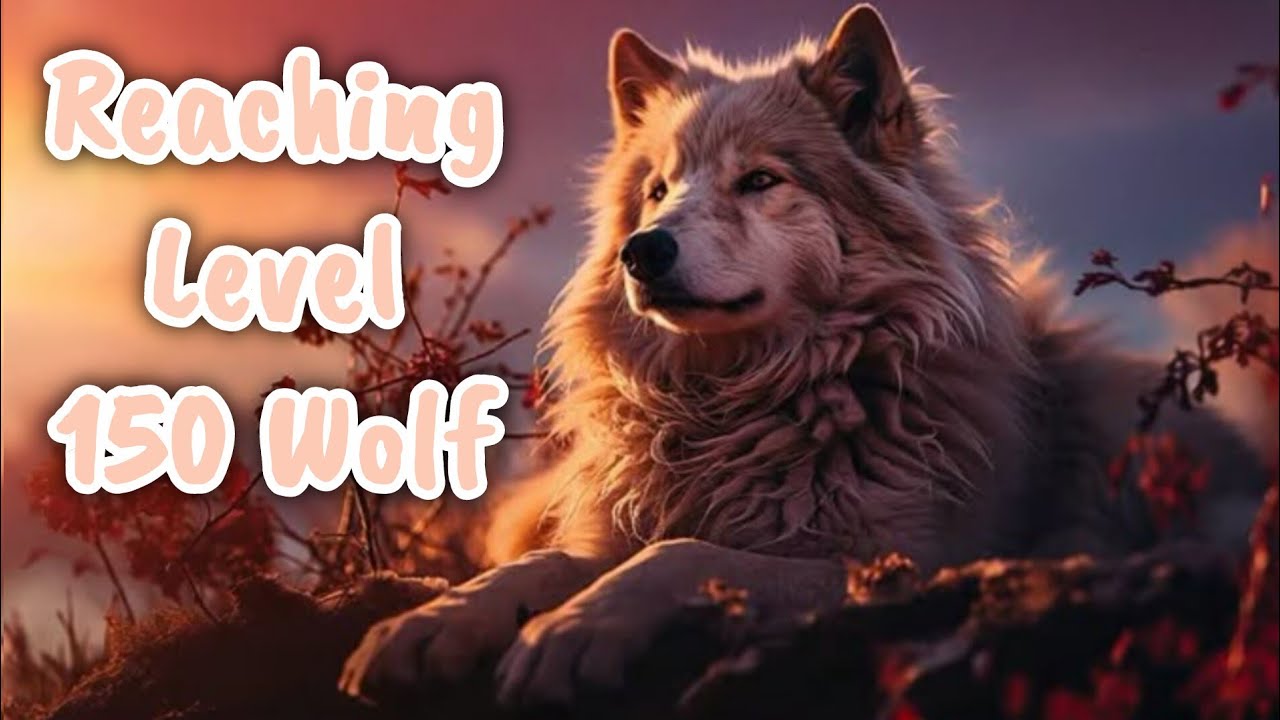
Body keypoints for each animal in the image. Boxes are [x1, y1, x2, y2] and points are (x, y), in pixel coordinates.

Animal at [341, 4, 1264, 707]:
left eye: (759, 182)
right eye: (659, 189)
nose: (643, 250)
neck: (747, 400)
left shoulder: (893, 562)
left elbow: (678, 557)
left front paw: (573, 629)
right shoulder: (620, 523)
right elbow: (543, 562)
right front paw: (430, 623)